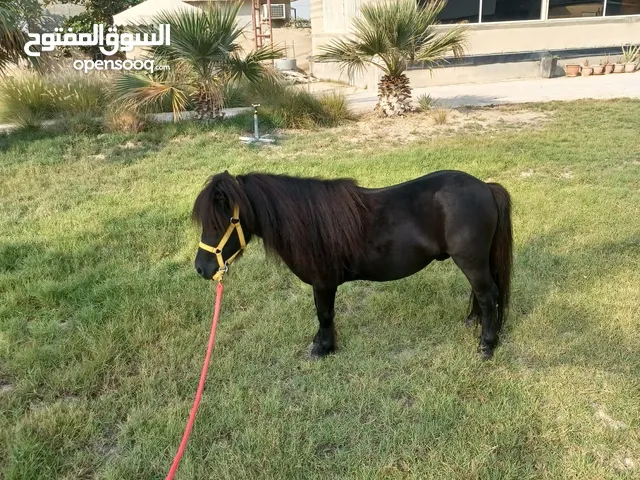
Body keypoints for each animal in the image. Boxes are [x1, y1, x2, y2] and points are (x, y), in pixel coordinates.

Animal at [192, 170, 513, 360]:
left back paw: (487, 344)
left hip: (471, 261)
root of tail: (485, 187)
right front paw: (320, 342)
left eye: (222, 221)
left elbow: (324, 314)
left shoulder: (323, 283)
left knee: (489, 295)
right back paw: (474, 322)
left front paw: (323, 349)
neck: (308, 222)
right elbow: (322, 314)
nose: (201, 268)